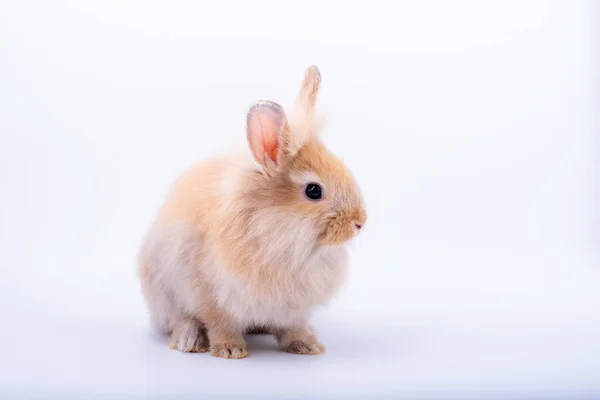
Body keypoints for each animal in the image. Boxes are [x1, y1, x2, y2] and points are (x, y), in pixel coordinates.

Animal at [138, 65, 368, 360]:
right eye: (314, 191)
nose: (360, 222)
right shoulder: (212, 295)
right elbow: (219, 324)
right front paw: (230, 350)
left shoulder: (293, 309)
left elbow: (293, 327)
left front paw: (306, 345)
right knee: (180, 321)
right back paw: (189, 340)